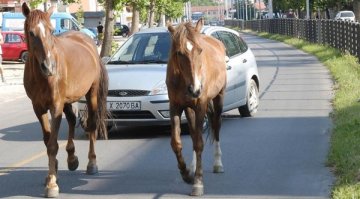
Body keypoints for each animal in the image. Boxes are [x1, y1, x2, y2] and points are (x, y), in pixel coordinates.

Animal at [20, 3, 107, 197]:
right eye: (31, 32)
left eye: (52, 31)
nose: (49, 66)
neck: (42, 77)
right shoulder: (38, 108)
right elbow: (47, 140)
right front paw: (52, 174)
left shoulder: (56, 106)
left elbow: (52, 145)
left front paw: (52, 184)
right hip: (67, 100)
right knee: (73, 120)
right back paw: (72, 158)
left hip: (90, 94)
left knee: (91, 125)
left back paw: (92, 163)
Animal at [167, 18, 226, 196]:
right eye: (179, 53)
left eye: (200, 50)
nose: (195, 89)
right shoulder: (175, 106)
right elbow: (176, 142)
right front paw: (186, 173)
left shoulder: (200, 106)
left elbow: (199, 143)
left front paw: (198, 183)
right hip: (189, 108)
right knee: (194, 133)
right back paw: (192, 167)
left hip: (219, 98)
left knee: (216, 126)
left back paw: (218, 164)